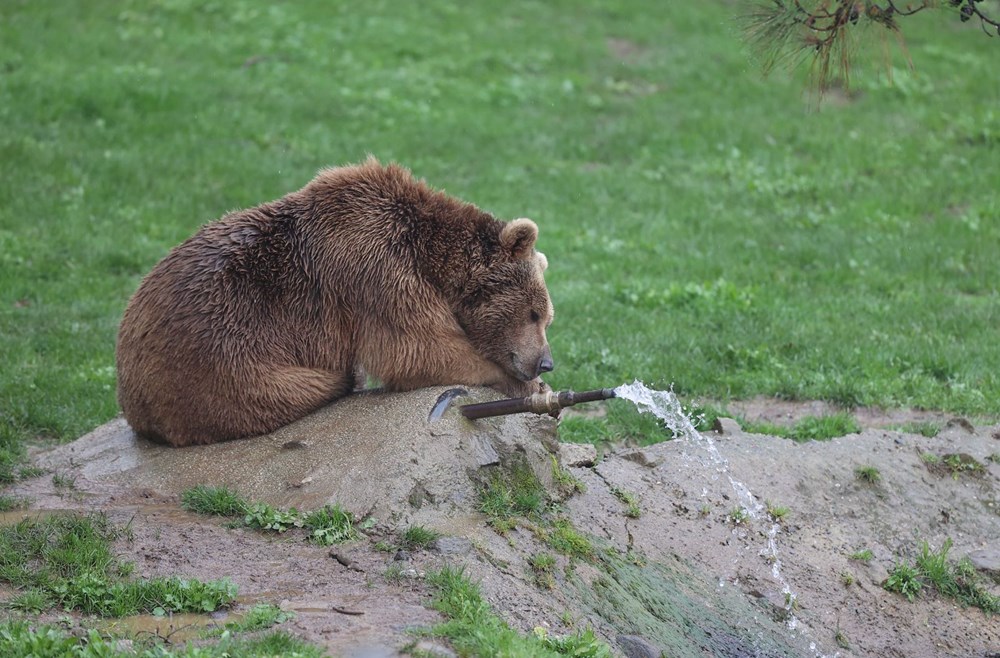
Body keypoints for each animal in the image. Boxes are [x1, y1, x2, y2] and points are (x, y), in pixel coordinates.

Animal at [119, 158, 556, 446]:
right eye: (534, 313)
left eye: (547, 317)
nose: (545, 361)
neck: (430, 256)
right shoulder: (374, 272)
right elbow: (417, 349)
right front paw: (522, 382)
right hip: (223, 360)